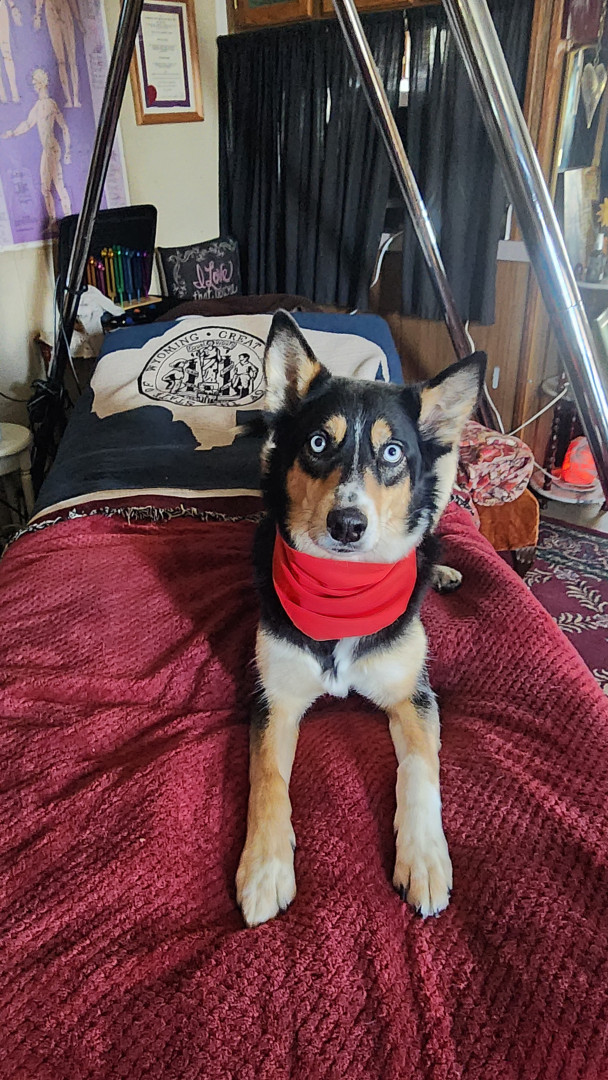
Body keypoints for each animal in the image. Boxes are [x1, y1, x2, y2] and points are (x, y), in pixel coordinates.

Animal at [236, 310, 485, 927]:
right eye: (318, 443)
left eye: (392, 452)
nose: (348, 524)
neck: (342, 588)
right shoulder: (273, 696)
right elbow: (267, 776)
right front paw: (265, 869)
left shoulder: (414, 695)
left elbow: (420, 767)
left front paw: (424, 859)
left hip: (446, 472)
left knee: (434, 528)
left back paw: (441, 570)